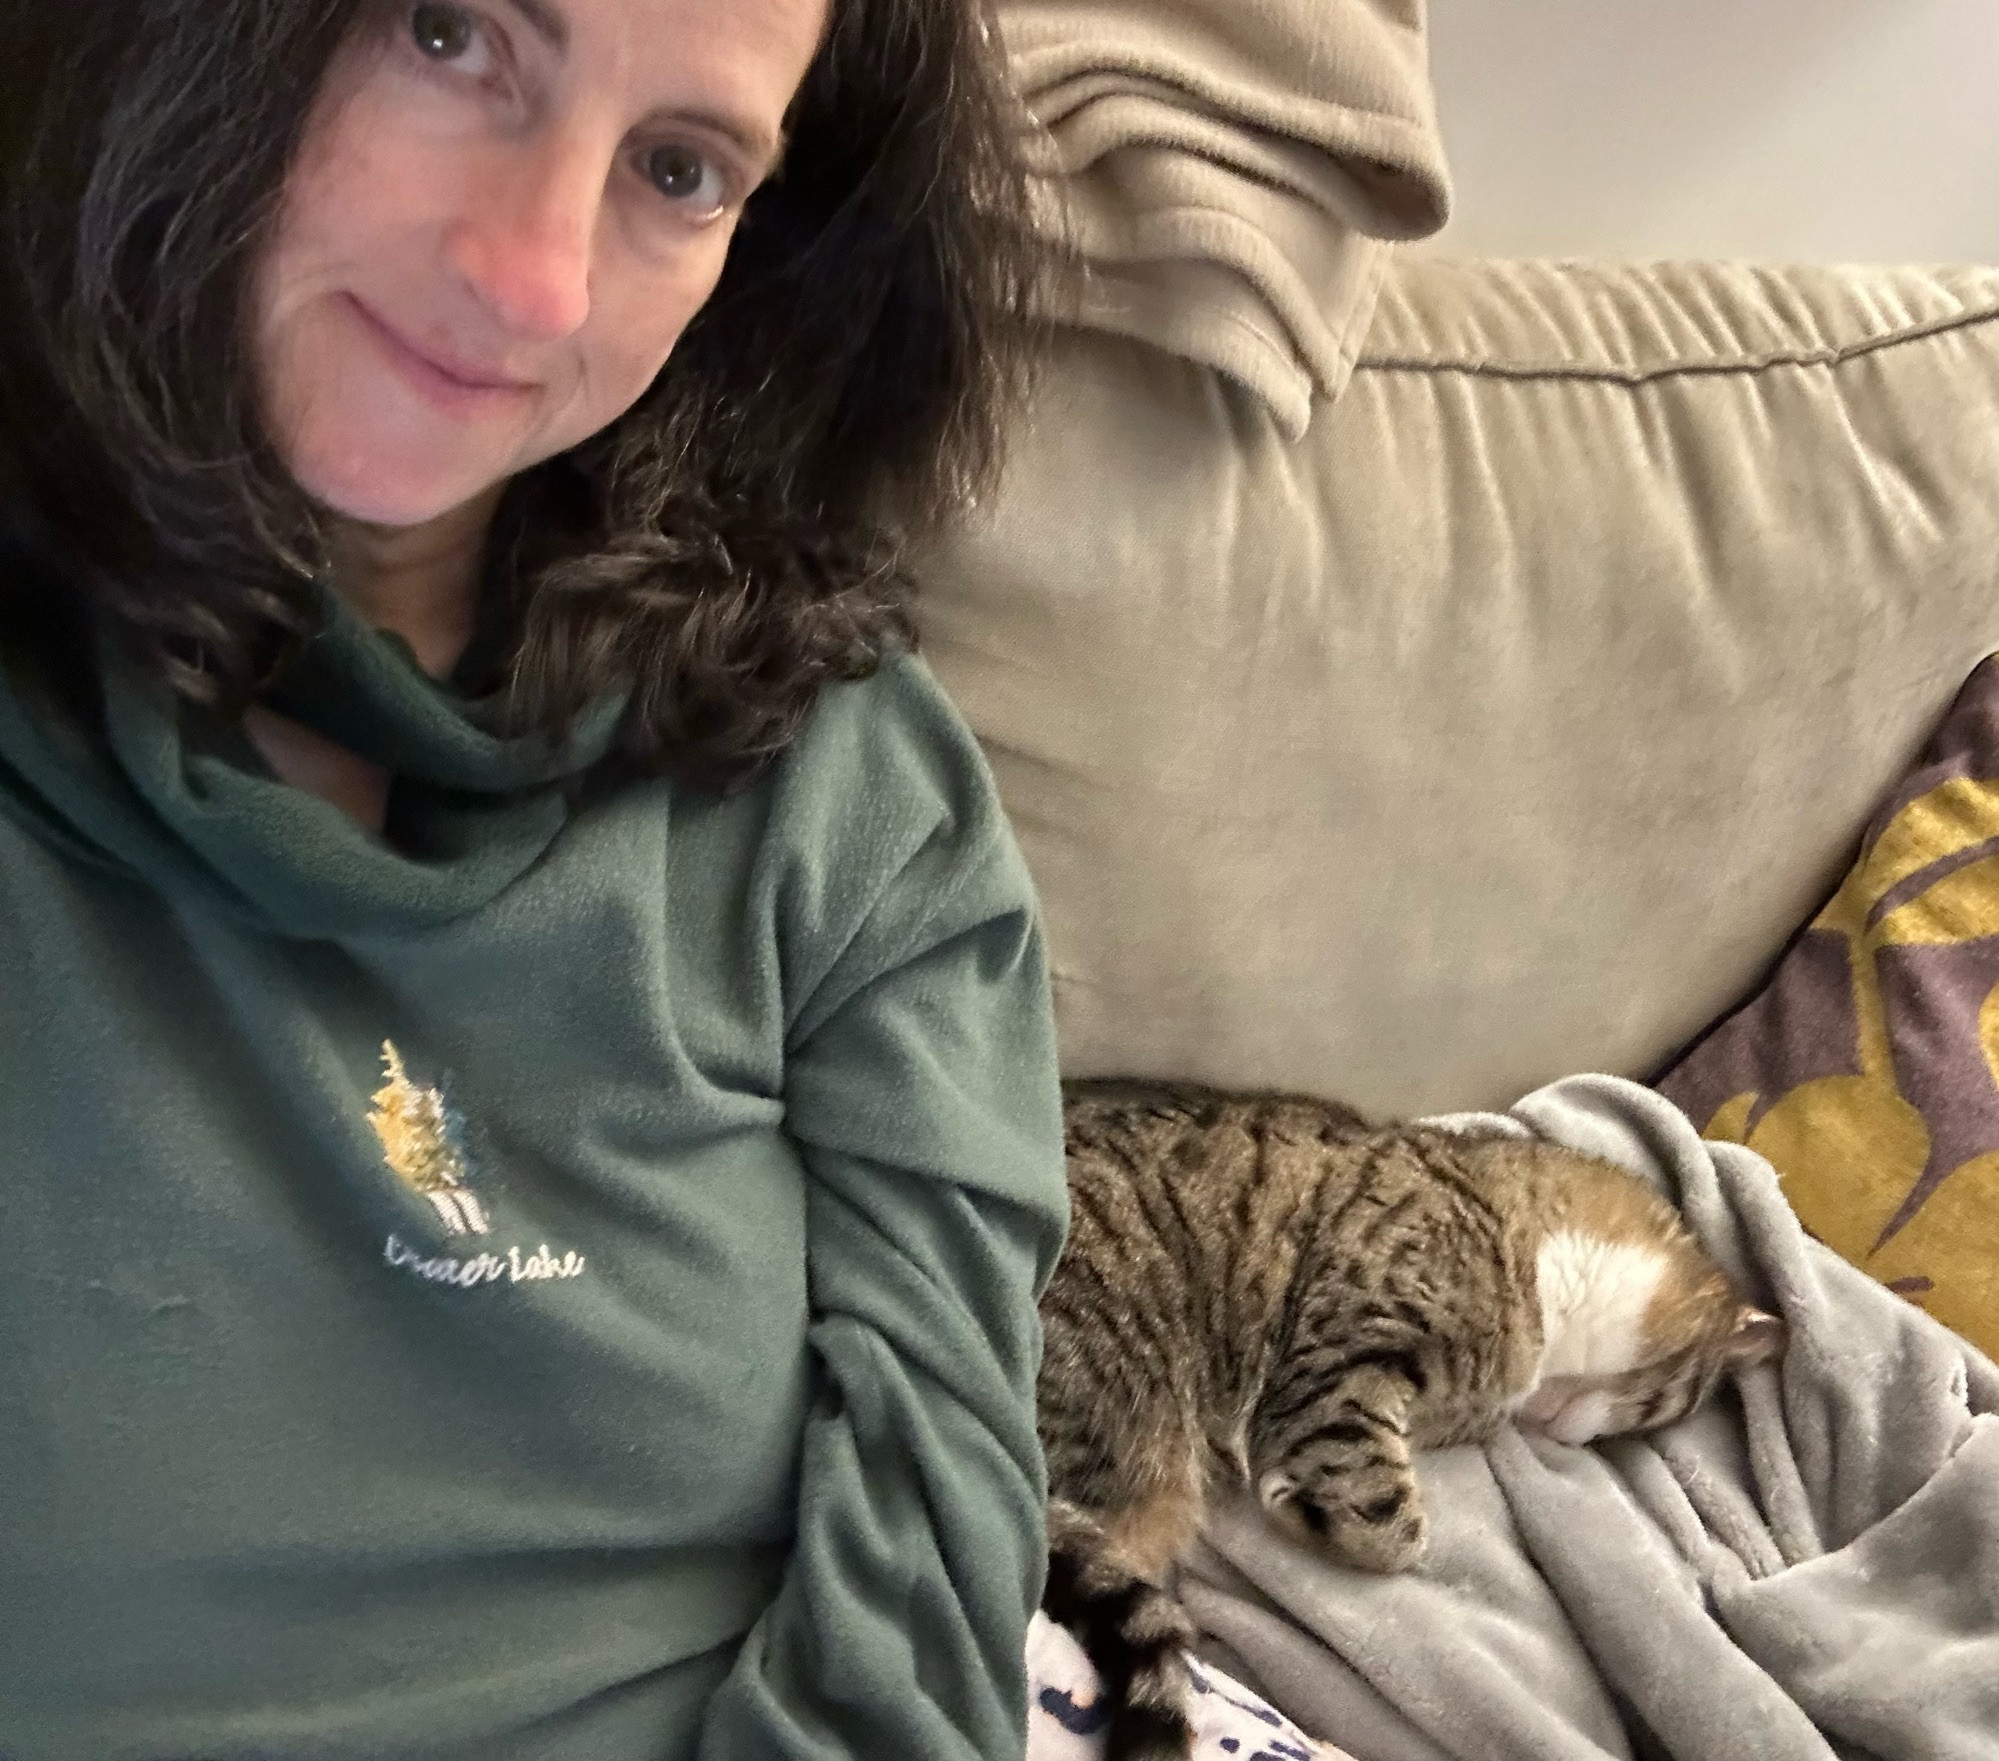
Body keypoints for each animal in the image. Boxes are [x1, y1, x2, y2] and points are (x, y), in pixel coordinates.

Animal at [1039, 1079, 1791, 1751]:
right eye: (1648, 1411)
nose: (1557, 1432)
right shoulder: (1342, 1356)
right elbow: (1387, 1522)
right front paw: (1319, 1512)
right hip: (1130, 1442)